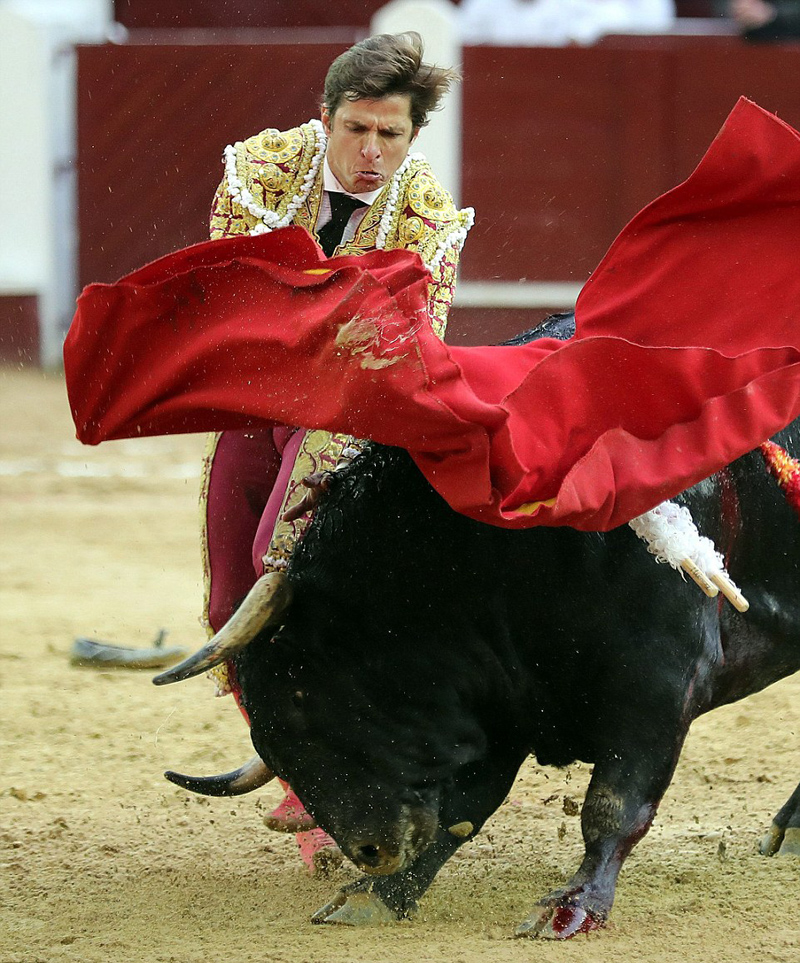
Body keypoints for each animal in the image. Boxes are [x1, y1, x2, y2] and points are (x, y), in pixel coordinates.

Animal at [158, 318, 800, 940]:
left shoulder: (659, 683)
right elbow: (466, 804)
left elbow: (613, 804)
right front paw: (380, 895)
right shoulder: (499, 693)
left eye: (302, 700)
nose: (371, 853)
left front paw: (571, 908)